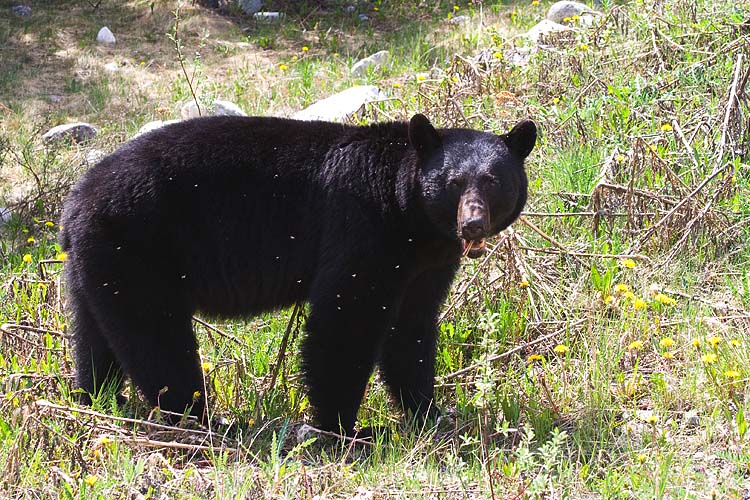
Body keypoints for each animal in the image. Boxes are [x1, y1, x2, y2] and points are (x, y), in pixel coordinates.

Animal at [63, 115, 536, 436]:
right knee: (157, 339)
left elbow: (412, 328)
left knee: (95, 335)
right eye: (454, 182)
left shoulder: (427, 263)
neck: (411, 216)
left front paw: (428, 412)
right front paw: (343, 427)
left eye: (493, 181)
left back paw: (97, 398)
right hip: (139, 248)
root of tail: (75, 202)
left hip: (99, 262)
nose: (472, 224)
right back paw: (202, 420)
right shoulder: (363, 227)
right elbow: (347, 316)